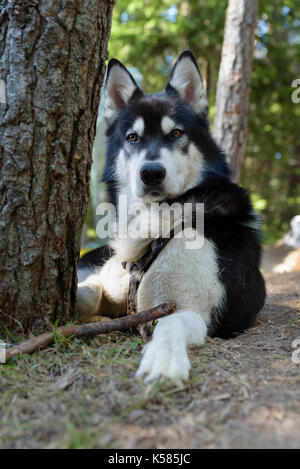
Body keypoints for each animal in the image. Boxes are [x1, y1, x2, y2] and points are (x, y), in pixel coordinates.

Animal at [77, 49, 264, 382]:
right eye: (133, 137)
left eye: (176, 133)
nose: (151, 173)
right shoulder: (110, 289)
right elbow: (87, 292)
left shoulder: (195, 312)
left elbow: (169, 322)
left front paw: (163, 359)